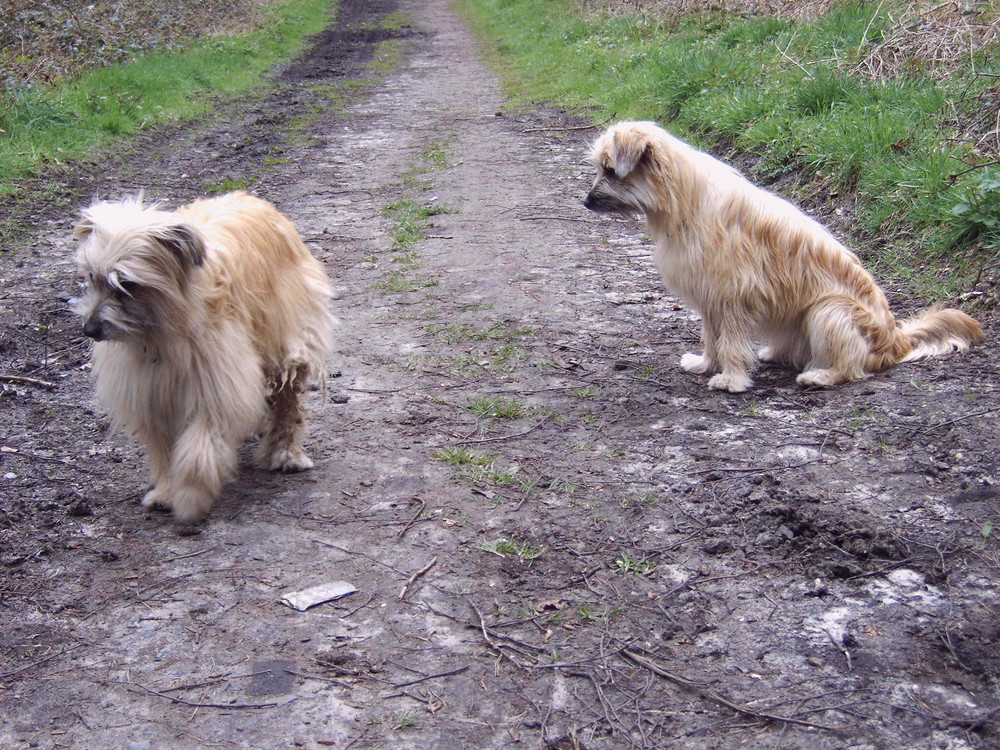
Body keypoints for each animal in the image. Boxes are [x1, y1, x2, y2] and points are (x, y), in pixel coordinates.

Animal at [74, 191, 338, 524]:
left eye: (127, 283)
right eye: (91, 276)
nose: (90, 329)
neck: (161, 332)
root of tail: (252, 198)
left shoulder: (216, 382)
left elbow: (199, 447)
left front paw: (190, 494)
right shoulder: (149, 390)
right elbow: (163, 446)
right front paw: (165, 491)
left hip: (287, 339)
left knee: (287, 403)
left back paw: (285, 454)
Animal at [584, 122, 980, 394]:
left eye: (610, 169)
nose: (586, 202)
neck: (685, 201)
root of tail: (895, 339)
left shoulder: (735, 294)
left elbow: (730, 341)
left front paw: (731, 378)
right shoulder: (709, 294)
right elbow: (711, 337)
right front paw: (706, 364)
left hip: (830, 311)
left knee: (852, 368)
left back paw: (820, 375)